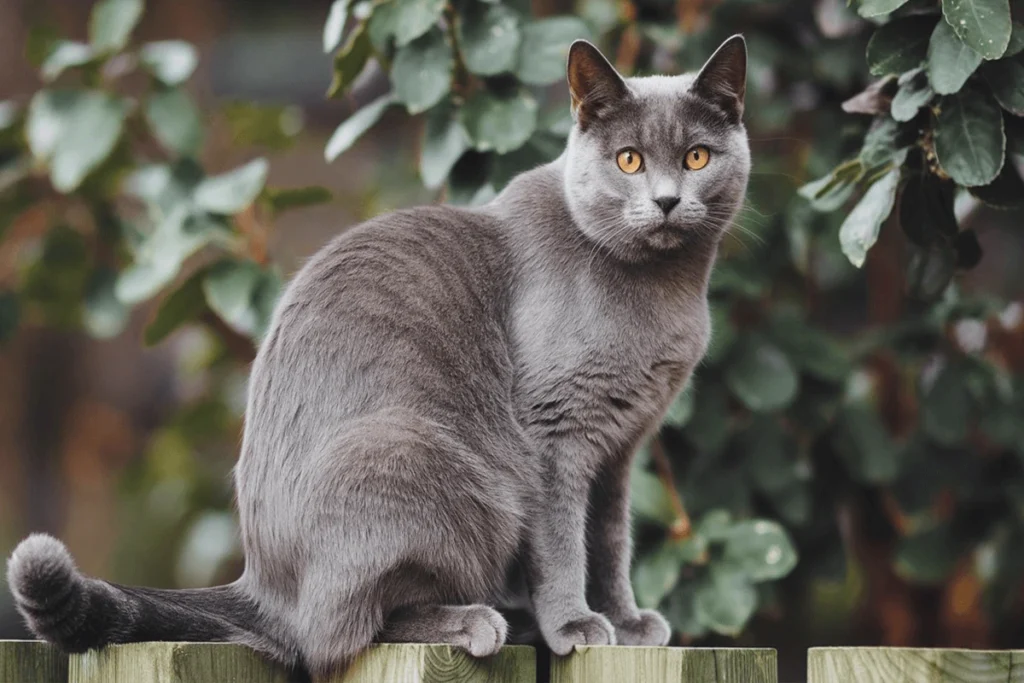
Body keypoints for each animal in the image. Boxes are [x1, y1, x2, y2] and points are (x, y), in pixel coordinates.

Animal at [4, 36, 749, 679]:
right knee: (337, 632)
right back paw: (480, 619)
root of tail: (260, 581)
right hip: (419, 455)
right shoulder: (554, 435)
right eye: (628, 160)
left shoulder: (622, 446)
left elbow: (611, 540)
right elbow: (565, 541)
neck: (665, 292)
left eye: (696, 158)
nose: (666, 201)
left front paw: (625, 621)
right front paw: (575, 625)